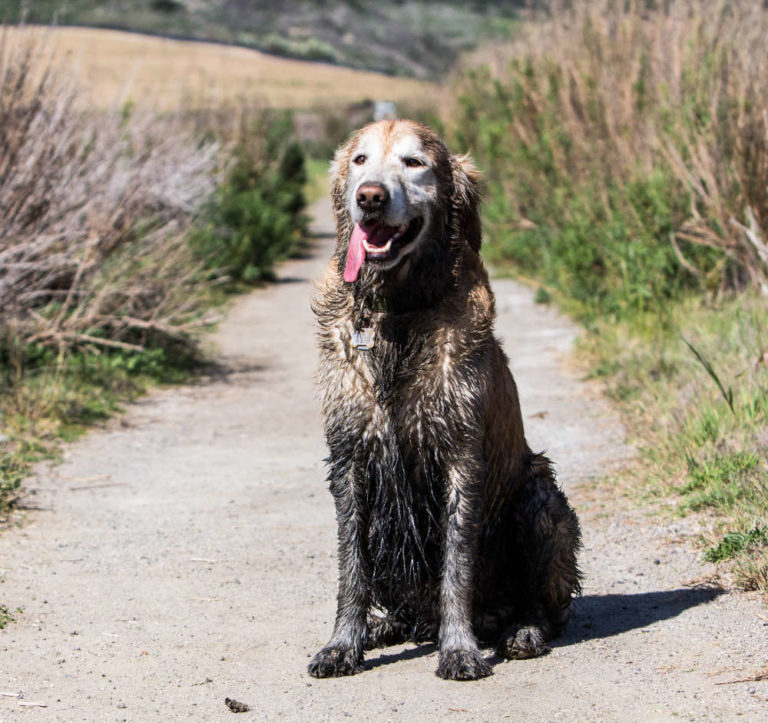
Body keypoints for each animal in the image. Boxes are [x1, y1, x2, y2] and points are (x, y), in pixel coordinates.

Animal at [308, 119, 580, 680]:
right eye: (360, 160)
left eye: (415, 163)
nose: (370, 197)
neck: (397, 313)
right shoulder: (349, 457)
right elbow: (352, 566)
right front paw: (343, 644)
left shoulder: (460, 456)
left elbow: (457, 563)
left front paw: (459, 649)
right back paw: (386, 627)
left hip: (541, 498)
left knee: (549, 606)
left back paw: (521, 630)